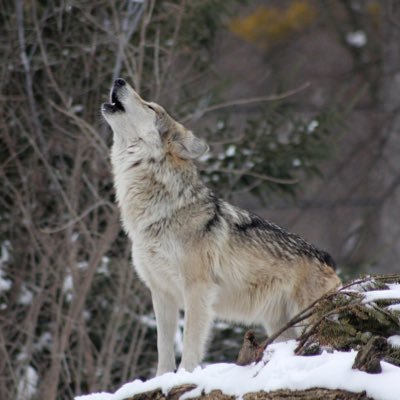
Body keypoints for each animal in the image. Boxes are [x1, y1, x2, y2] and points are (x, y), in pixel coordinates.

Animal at [101, 78, 340, 376]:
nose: (119, 80)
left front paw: (185, 376)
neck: (159, 213)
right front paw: (162, 379)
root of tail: (328, 258)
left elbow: (190, 344)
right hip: (280, 326)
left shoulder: (197, 289)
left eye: (150, 106)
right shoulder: (161, 293)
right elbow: (163, 349)